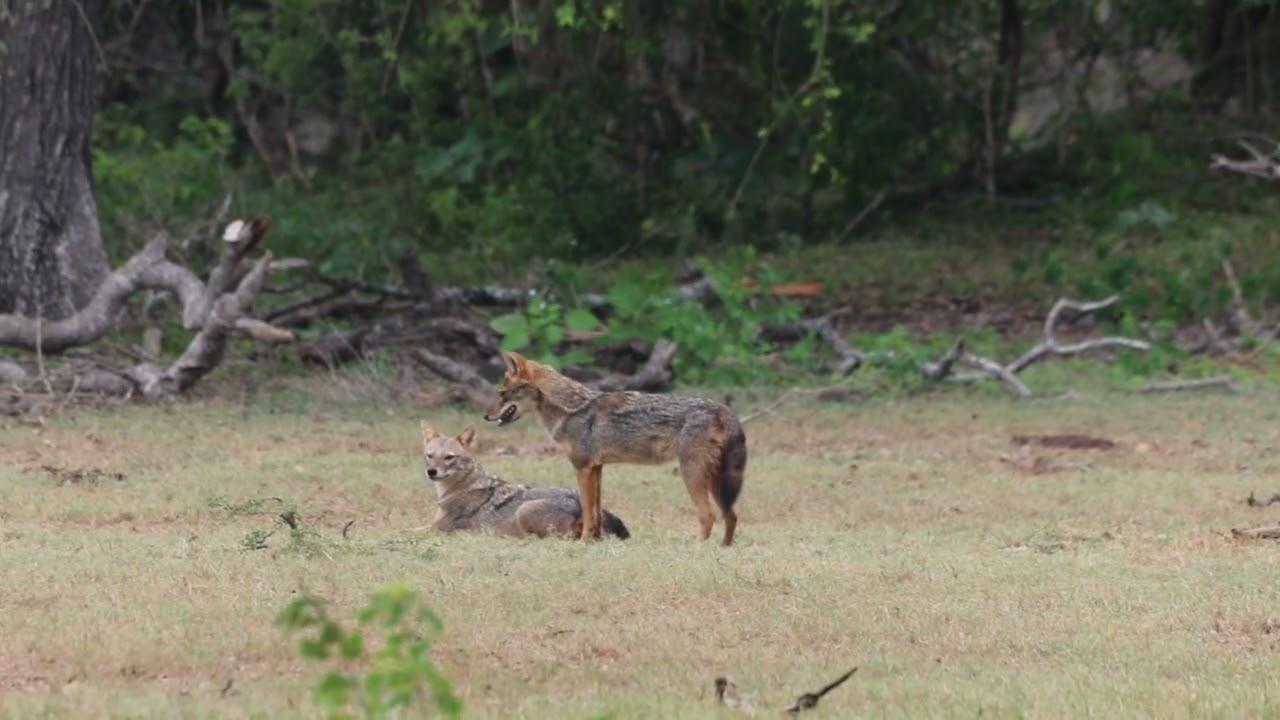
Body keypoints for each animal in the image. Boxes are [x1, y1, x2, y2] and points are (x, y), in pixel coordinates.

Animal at [483, 351, 746, 546]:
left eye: (502, 394)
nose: (485, 416)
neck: (571, 409)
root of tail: (724, 410)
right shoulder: (597, 469)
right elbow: (597, 512)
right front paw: (596, 541)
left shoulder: (583, 469)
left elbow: (589, 512)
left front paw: (583, 543)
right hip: (717, 481)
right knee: (731, 515)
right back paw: (724, 547)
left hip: (692, 474)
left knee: (708, 515)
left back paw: (697, 546)